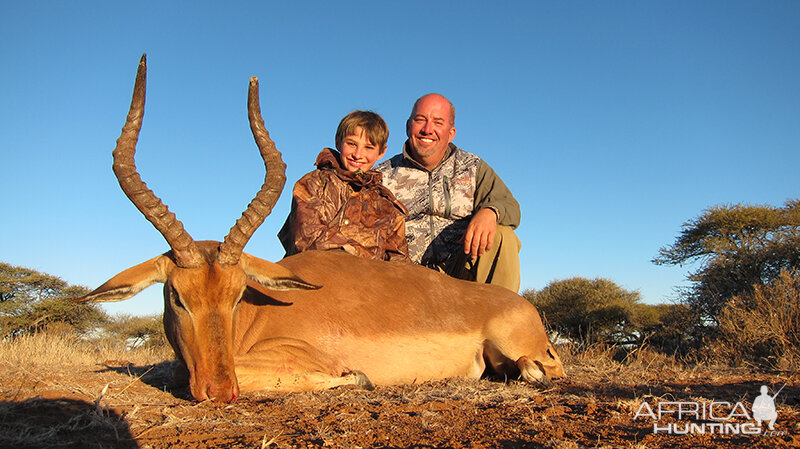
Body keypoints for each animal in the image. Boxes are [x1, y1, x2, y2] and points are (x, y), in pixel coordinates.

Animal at [75, 54, 564, 400]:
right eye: (177, 296)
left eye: (237, 294)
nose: (219, 391)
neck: (259, 313)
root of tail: (520, 305)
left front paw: (358, 378)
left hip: (523, 351)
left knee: (542, 368)